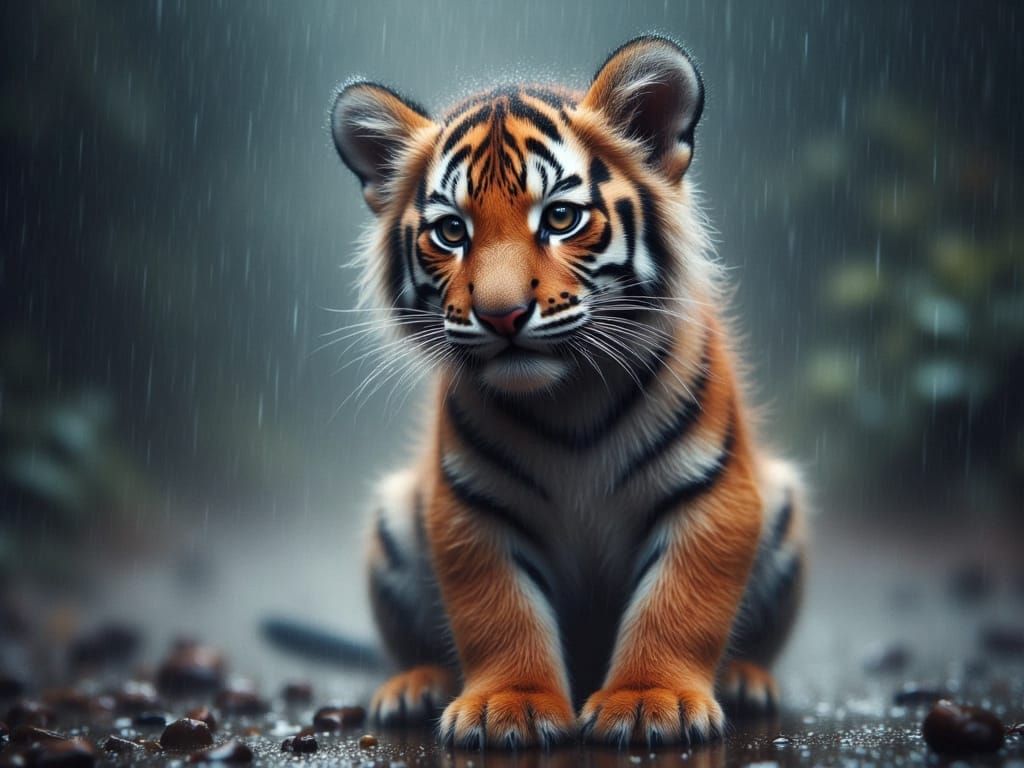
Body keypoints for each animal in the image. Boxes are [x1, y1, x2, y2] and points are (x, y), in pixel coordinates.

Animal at [329, 35, 807, 749]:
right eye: (451, 232)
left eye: (559, 217)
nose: (501, 315)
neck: (569, 399)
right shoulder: (474, 506)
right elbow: (498, 613)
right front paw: (510, 705)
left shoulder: (711, 491)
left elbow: (678, 604)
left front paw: (650, 700)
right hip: (393, 518)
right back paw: (416, 686)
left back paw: (747, 680)